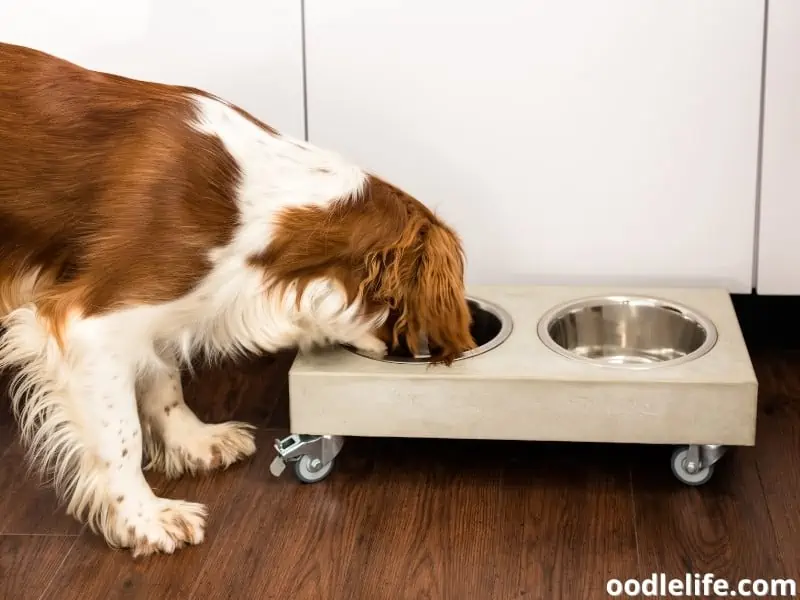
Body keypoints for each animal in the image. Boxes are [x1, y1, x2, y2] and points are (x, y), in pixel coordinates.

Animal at [0, 43, 476, 556]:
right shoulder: (90, 323)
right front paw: (145, 519)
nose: (419, 353)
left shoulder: (156, 309)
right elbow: (121, 434)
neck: (255, 201)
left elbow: (163, 380)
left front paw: (193, 442)